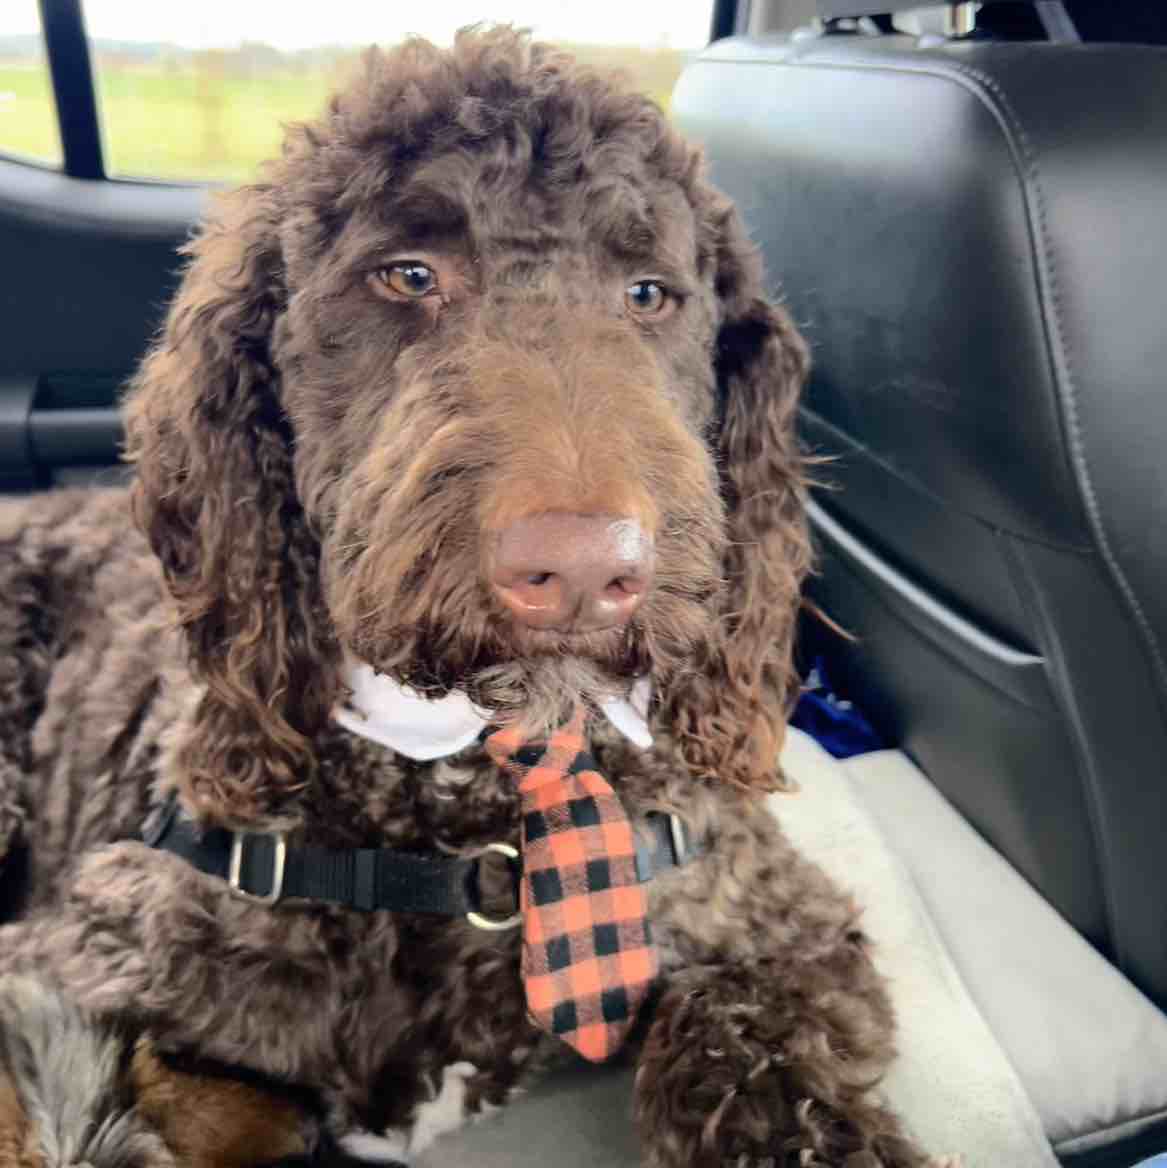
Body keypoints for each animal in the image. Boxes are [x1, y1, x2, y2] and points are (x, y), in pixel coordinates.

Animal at [0, 27, 932, 1168]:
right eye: (407, 275)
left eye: (649, 293)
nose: (583, 570)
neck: (478, 798)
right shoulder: (82, 956)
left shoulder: (773, 920)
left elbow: (758, 1054)